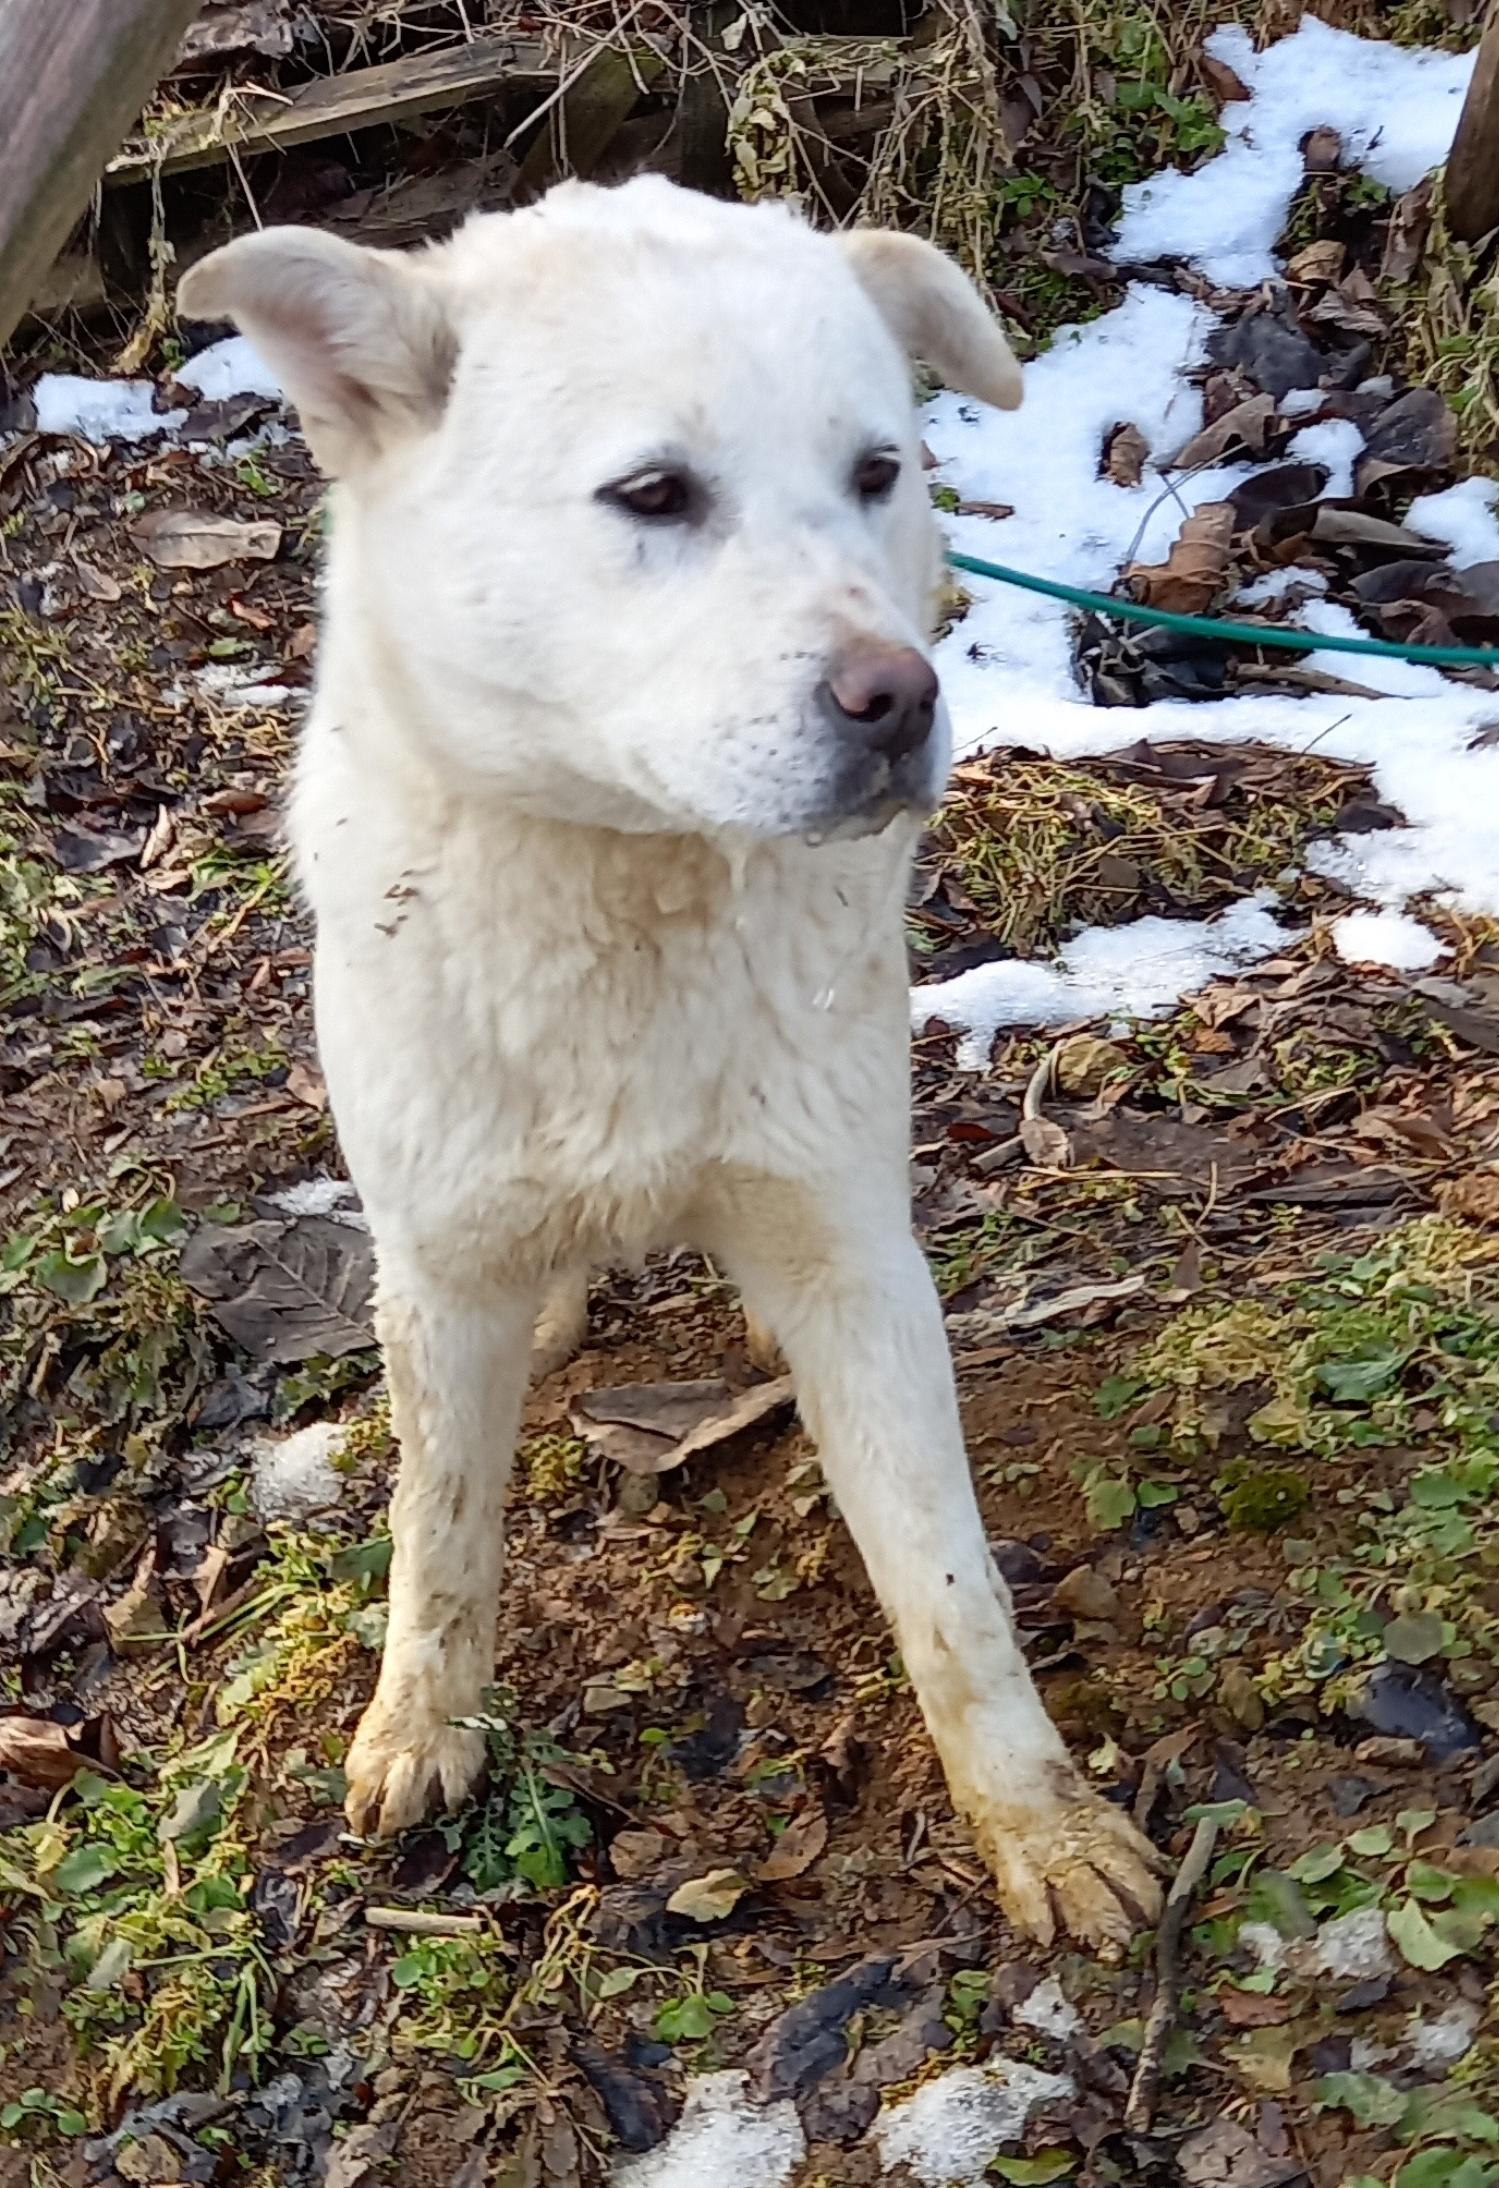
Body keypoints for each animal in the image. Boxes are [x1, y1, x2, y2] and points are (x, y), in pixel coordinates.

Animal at [179, 175, 1163, 1951]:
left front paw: (1041, 1826)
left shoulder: (846, 1253)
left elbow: (949, 1585)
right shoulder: (442, 1265)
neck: (627, 890)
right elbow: (440, 1531)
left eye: (876, 472)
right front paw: (424, 1725)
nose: (899, 699)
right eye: (652, 494)